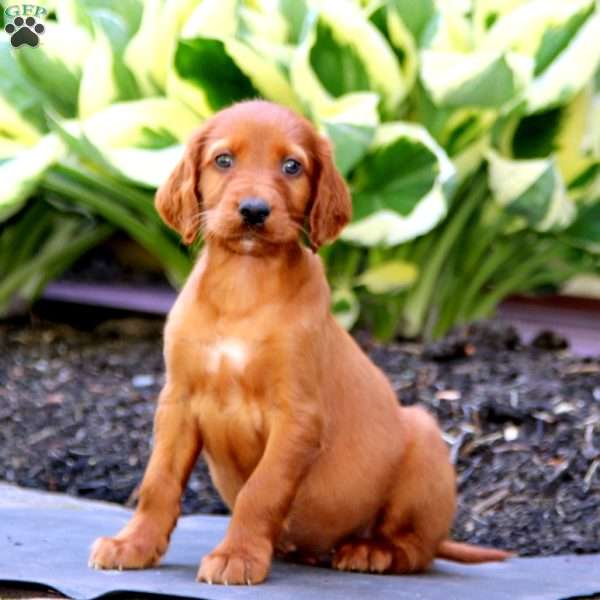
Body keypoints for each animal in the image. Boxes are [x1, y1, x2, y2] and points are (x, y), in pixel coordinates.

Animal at [89, 101, 510, 584]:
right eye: (223, 160)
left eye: (292, 166)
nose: (254, 210)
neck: (244, 285)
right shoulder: (177, 402)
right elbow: (158, 482)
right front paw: (133, 544)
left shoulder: (297, 417)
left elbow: (261, 490)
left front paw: (237, 555)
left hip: (423, 440)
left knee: (416, 549)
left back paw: (372, 550)